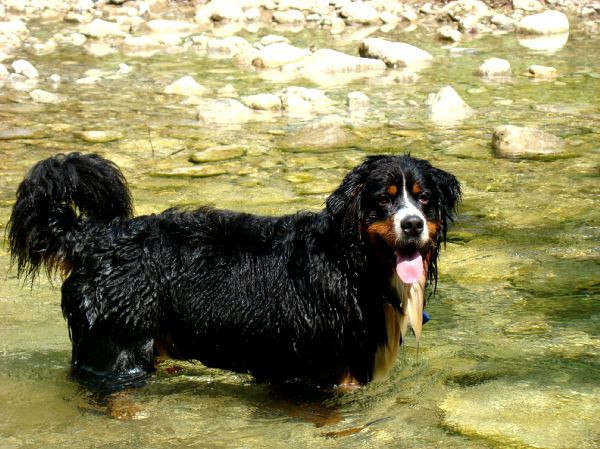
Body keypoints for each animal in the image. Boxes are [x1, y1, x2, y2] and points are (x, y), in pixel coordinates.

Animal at [7, 152, 462, 386]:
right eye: (384, 199)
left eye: (423, 199)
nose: (412, 224)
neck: (352, 267)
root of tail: (95, 236)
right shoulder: (313, 372)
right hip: (117, 348)